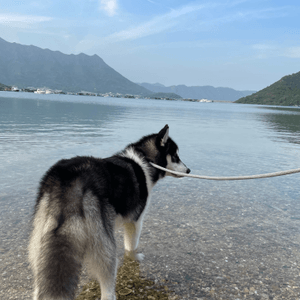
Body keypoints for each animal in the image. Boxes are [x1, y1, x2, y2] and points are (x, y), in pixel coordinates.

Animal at [29, 124, 191, 300]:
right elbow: (131, 247)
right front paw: (134, 258)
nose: (189, 170)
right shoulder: (135, 221)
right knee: (107, 286)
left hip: (40, 244)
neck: (145, 160)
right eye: (175, 156)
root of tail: (70, 181)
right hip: (104, 245)